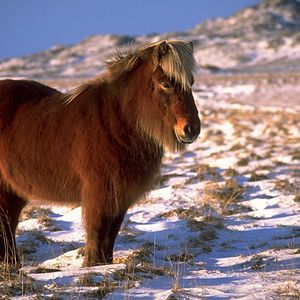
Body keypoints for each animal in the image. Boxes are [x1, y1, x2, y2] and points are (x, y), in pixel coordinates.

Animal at [0, 39, 202, 268]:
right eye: (166, 83)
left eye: (191, 82)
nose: (192, 129)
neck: (118, 121)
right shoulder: (99, 194)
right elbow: (97, 234)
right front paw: (92, 266)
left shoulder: (120, 196)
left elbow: (110, 237)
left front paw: (105, 265)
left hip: (13, 190)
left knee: (8, 224)